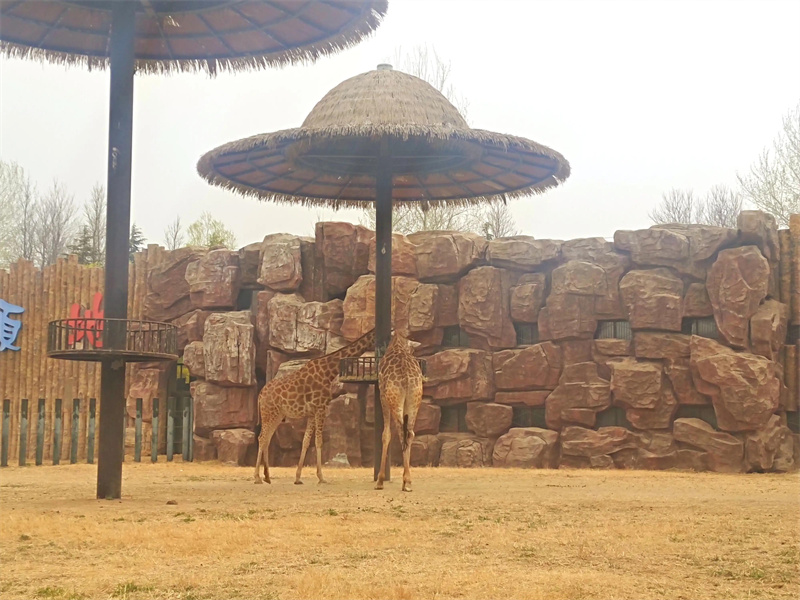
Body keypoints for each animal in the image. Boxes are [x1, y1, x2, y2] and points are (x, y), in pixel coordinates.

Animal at [253, 328, 376, 488]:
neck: (329, 371)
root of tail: (260, 395)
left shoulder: (312, 412)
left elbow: (306, 441)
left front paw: (298, 477)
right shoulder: (321, 407)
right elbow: (318, 441)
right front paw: (321, 477)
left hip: (277, 415)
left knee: (266, 438)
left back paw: (267, 477)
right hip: (269, 413)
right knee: (262, 438)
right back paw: (257, 477)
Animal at [376, 332, 424, 492]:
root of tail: (406, 377)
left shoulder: (382, 396)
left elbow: (386, 434)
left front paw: (380, 481)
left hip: (394, 400)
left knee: (401, 433)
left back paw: (404, 481)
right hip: (415, 401)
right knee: (409, 433)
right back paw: (407, 481)